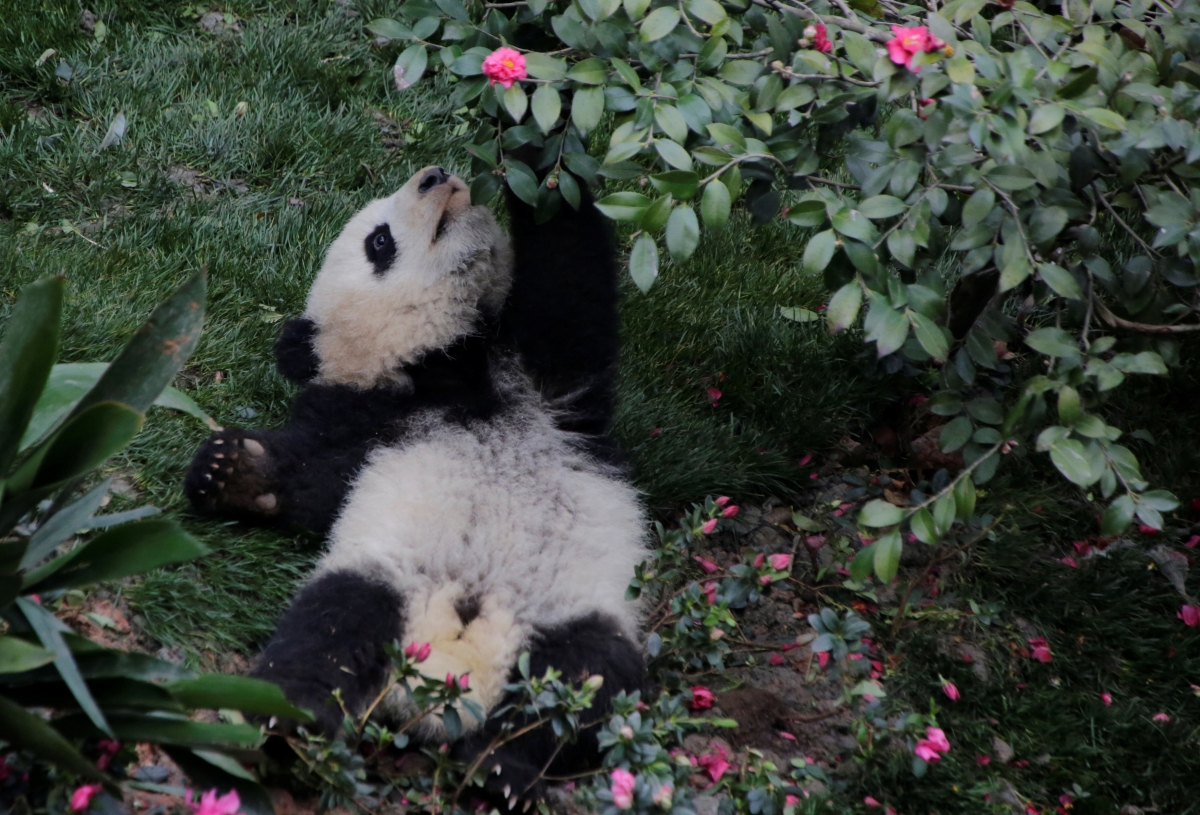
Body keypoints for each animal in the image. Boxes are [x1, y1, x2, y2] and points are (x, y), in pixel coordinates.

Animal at [183, 165, 646, 802]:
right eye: (379, 241)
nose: (435, 175)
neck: (444, 369)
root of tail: (449, 673)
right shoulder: (373, 421)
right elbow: (315, 478)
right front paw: (229, 469)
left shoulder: (546, 395)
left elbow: (568, 287)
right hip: (387, 577)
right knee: (330, 626)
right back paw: (289, 725)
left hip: (568, 615)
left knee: (580, 681)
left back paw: (498, 771)